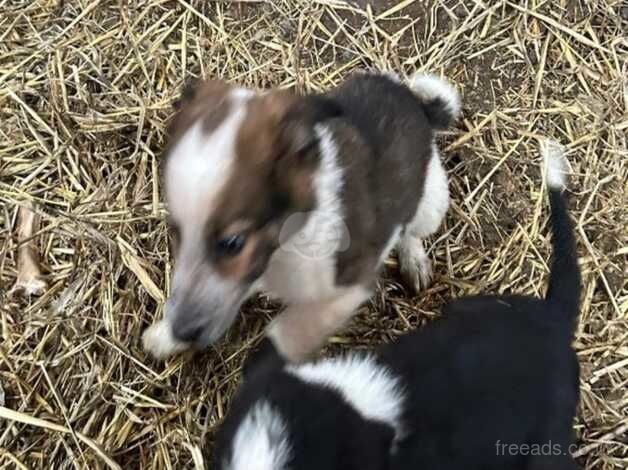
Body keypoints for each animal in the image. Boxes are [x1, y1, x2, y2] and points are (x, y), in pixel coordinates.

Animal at [145, 71, 464, 362]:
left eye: (232, 243)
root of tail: (418, 105)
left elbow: (288, 330)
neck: (287, 243)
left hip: (432, 202)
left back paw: (414, 261)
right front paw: (166, 337)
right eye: (175, 232)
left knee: (410, 229)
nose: (183, 330)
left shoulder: (348, 287)